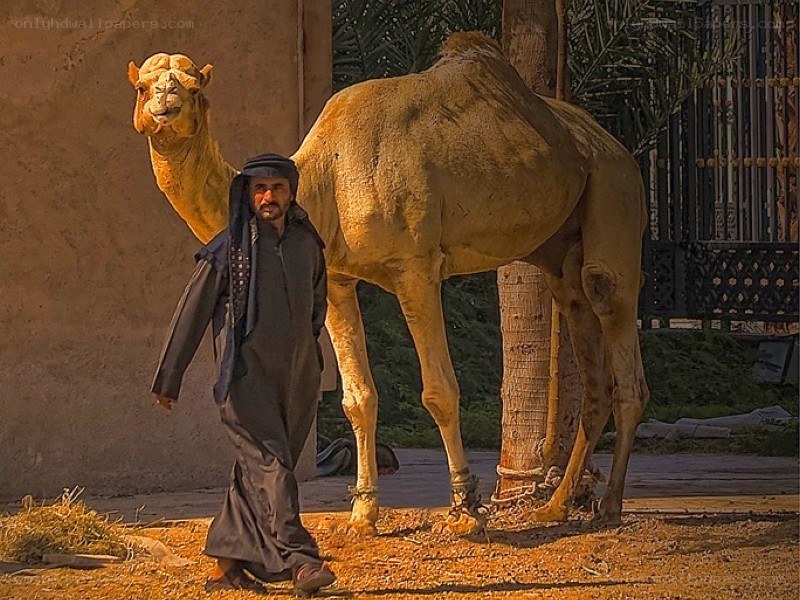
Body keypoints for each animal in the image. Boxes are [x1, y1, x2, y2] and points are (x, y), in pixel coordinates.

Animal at [129, 32, 649, 536]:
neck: (326, 179)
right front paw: (363, 514)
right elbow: (358, 398)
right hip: (559, 248)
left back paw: (608, 507)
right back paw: (556, 506)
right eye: (143, 87)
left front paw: (467, 510)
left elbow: (439, 391)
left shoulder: (414, 265)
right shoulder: (336, 279)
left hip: (614, 186)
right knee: (589, 354)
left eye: (194, 88)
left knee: (610, 305)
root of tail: (614, 146)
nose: (164, 106)